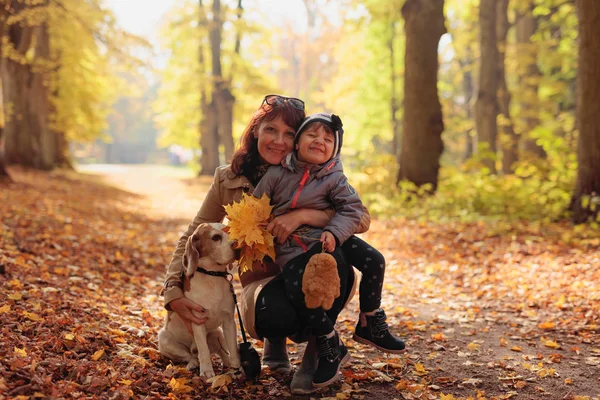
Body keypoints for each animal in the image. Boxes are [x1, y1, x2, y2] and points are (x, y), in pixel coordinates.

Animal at [158, 222, 240, 378]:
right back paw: (193, 363)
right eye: (216, 237)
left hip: (218, 333)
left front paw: (238, 369)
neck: (212, 276)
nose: (237, 245)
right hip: (164, 338)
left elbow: (233, 349)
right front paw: (207, 371)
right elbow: (204, 350)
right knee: (190, 355)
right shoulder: (197, 322)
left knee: (222, 352)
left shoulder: (229, 321)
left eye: (229, 232)